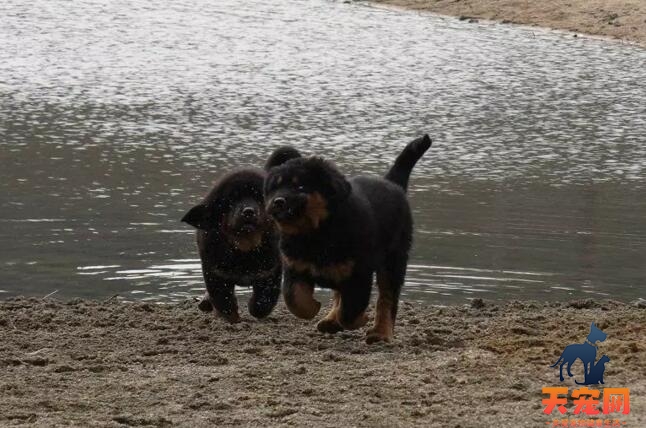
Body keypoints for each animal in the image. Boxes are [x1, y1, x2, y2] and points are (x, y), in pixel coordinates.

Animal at [182, 149, 304, 322]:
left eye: (261, 198)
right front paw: (232, 318)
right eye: (231, 200)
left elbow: (263, 303)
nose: (248, 211)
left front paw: (253, 308)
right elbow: (224, 303)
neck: (245, 247)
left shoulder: (270, 273)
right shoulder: (215, 274)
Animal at [264, 135, 430, 342]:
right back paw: (330, 321)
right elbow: (294, 299)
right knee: (340, 294)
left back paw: (381, 333)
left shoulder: (359, 273)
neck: (314, 235)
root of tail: (392, 183)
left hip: (393, 260)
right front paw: (314, 308)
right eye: (274, 188)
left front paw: (360, 320)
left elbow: (350, 311)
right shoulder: (295, 267)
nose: (277, 202)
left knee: (387, 297)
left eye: (299, 186)